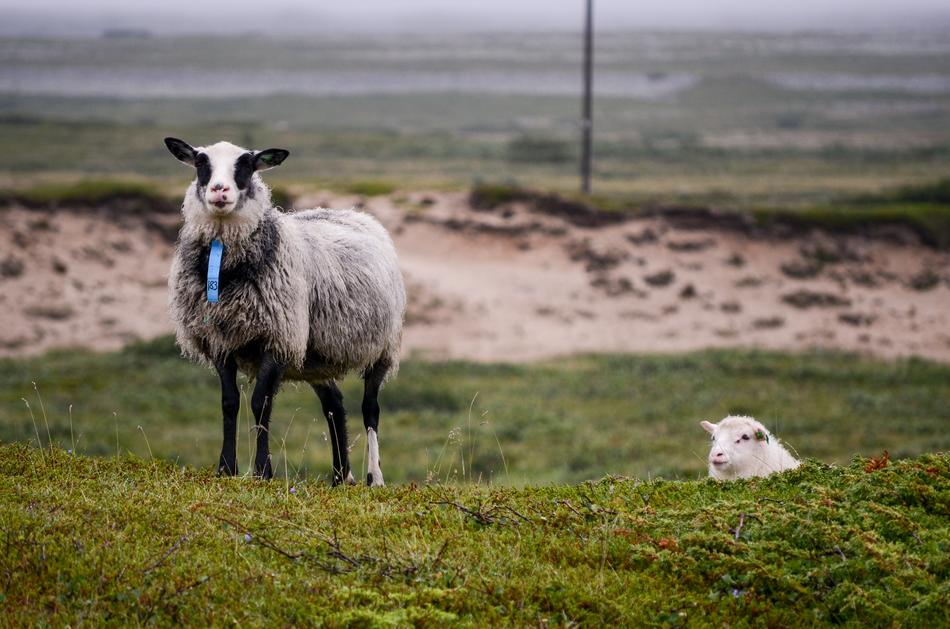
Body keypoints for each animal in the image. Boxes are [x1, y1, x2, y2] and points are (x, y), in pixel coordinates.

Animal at [163, 137, 406, 486]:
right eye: (200, 162)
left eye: (246, 164)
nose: (220, 190)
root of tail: (355, 214)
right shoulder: (221, 341)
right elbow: (229, 403)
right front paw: (226, 468)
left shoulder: (277, 339)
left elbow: (260, 404)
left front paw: (262, 471)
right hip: (315, 356)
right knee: (334, 405)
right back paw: (340, 477)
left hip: (382, 348)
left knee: (370, 408)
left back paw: (374, 477)